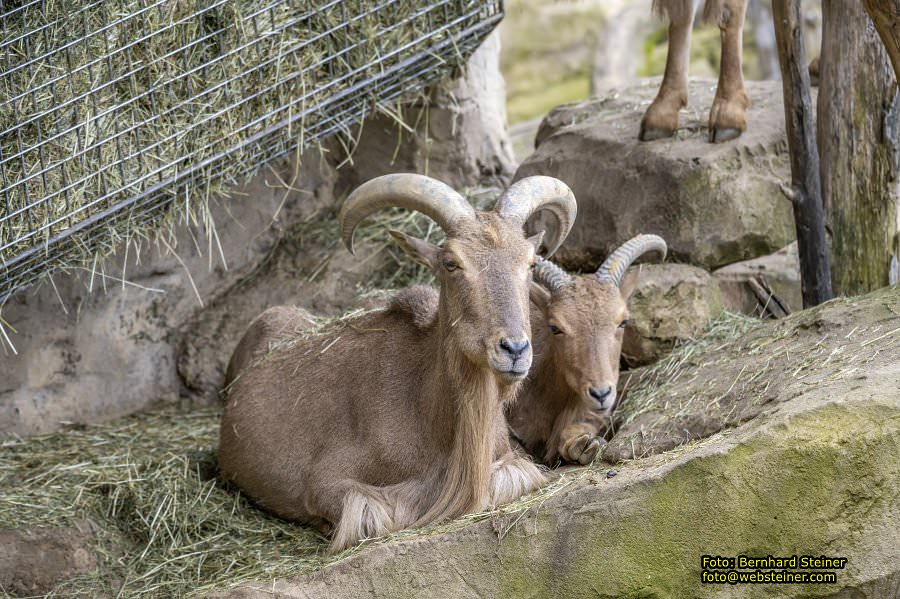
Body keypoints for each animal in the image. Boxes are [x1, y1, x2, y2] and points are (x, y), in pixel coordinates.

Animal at [218, 172, 576, 552]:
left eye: (530, 262)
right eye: (451, 263)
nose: (515, 348)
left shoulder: (508, 462)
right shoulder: (325, 483)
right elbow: (376, 512)